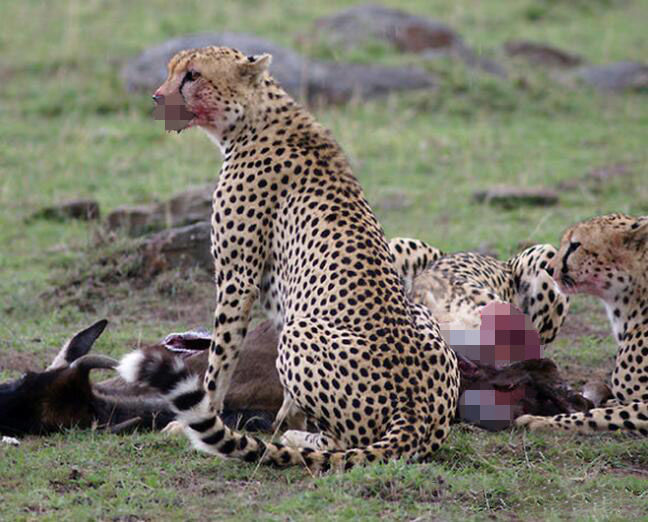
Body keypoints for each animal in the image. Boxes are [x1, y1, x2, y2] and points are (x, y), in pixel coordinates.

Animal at [117, 47, 460, 472]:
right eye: (171, 70)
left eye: (193, 75)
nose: (157, 98)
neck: (253, 117)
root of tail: (417, 410)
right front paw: (285, 421)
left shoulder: (238, 279)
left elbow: (219, 364)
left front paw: (195, 423)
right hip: (421, 317)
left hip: (301, 333)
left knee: (345, 443)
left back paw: (298, 441)